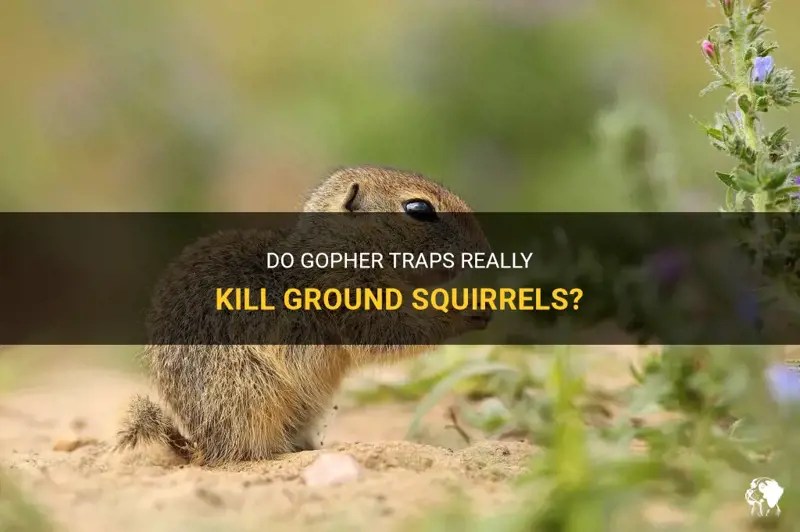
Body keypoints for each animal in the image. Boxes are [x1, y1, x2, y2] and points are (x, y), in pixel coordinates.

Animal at [115, 166, 491, 465]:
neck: (342, 247)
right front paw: (466, 309)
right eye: (419, 209)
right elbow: (391, 331)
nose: (481, 249)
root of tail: (201, 446)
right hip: (252, 390)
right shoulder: (348, 292)